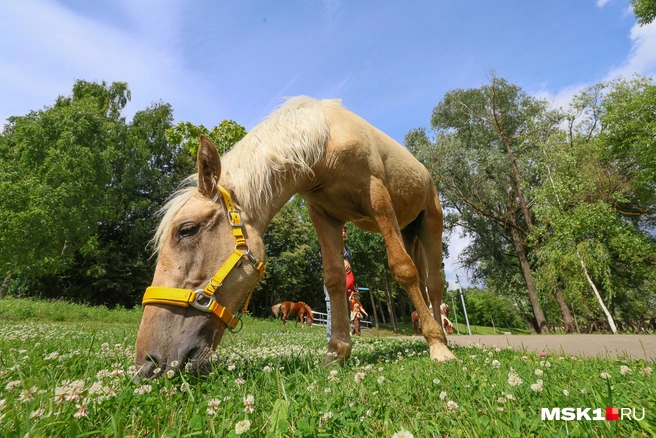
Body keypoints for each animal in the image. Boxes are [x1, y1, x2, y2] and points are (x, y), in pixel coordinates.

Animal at [135, 96, 456, 376]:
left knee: (433, 284)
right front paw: (337, 354)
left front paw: (438, 346)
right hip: (408, 231)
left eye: (187, 230)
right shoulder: (324, 216)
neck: (325, 144)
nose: (147, 362)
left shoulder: (378, 198)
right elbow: (334, 279)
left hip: (431, 221)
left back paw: (442, 337)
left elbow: (402, 270)